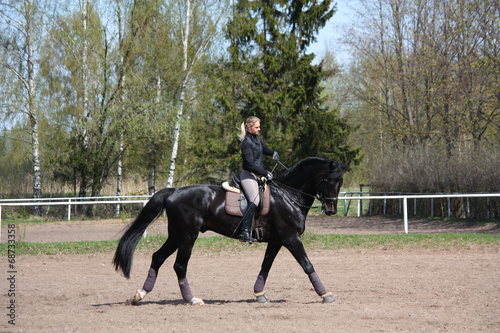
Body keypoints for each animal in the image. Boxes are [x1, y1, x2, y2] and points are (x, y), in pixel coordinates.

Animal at [114, 157, 350, 304]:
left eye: (341, 181)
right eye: (329, 180)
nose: (331, 210)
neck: (288, 195)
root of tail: (174, 191)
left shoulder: (277, 241)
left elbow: (266, 266)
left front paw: (260, 294)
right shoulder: (291, 238)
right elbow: (307, 265)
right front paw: (326, 294)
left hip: (176, 236)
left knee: (157, 257)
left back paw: (140, 295)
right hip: (188, 237)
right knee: (179, 266)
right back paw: (192, 299)